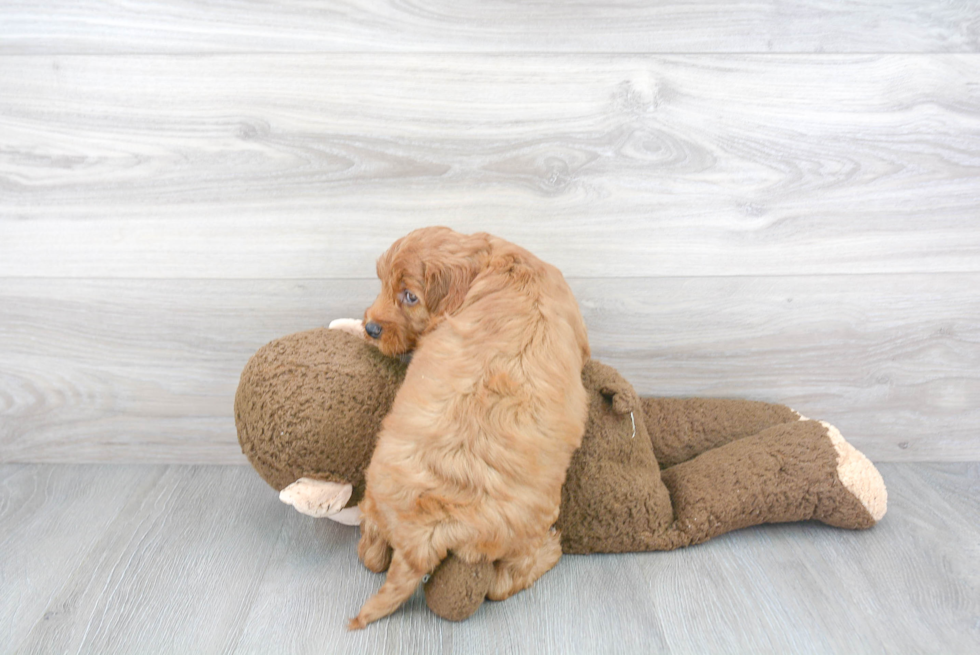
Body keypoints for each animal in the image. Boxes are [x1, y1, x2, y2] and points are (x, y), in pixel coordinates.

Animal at [348, 227, 584, 632]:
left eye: (409, 296)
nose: (371, 328)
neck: (497, 264)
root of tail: (423, 538)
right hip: (529, 527)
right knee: (503, 583)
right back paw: (551, 551)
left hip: (376, 496)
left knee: (372, 554)